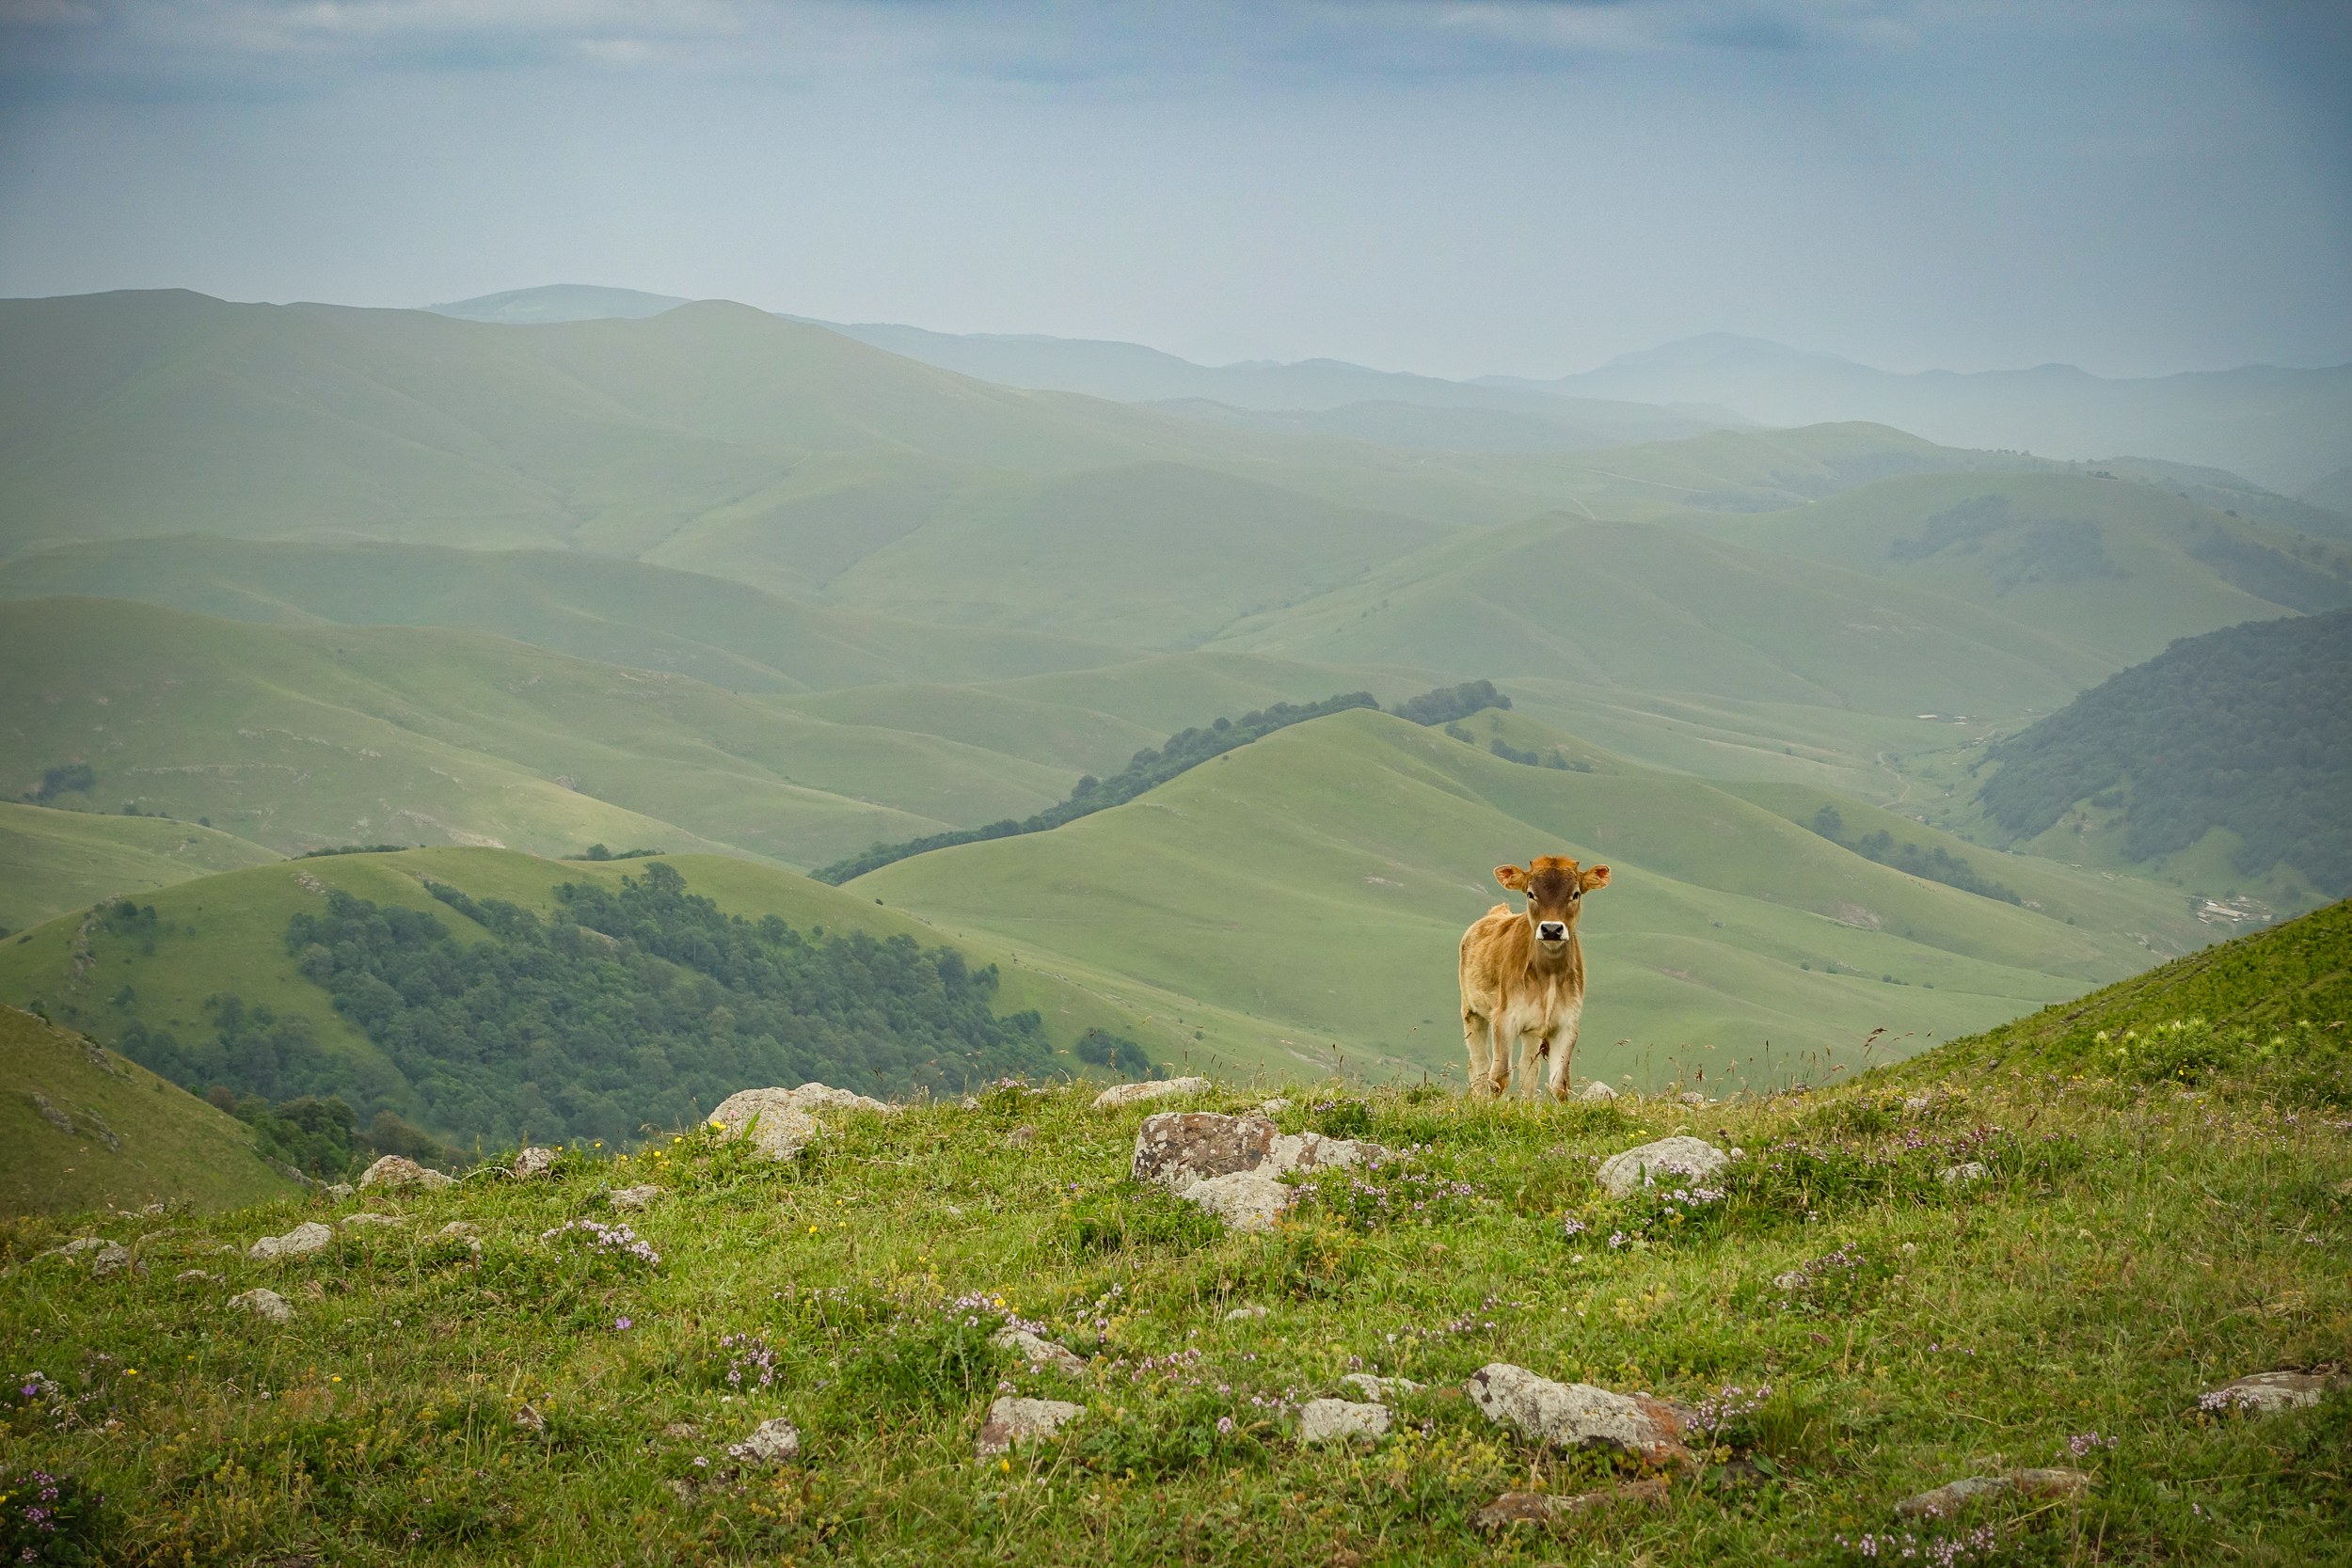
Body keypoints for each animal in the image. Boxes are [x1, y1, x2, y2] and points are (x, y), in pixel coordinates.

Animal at [1458, 854, 1611, 1099]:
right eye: (1530, 893)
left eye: (1575, 894)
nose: (1551, 929)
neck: (1549, 975)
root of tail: (1497, 913)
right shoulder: (1504, 1017)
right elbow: (1499, 1076)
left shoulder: (1567, 1023)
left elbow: (1559, 1084)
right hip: (1471, 1011)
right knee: (1479, 1063)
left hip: (1532, 1030)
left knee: (1529, 1066)